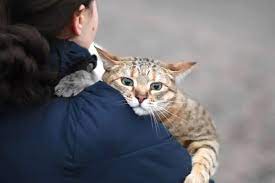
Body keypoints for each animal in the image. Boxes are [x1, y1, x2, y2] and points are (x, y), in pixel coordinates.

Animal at [55, 46, 221, 183]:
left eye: (156, 86)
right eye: (127, 82)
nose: (141, 97)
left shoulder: (206, 134)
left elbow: (206, 157)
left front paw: (196, 177)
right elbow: (92, 79)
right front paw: (72, 81)